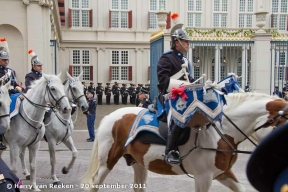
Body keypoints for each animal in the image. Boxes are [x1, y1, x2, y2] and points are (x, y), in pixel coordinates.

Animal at [81, 92, 288, 191]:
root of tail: (111, 116)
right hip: (108, 160)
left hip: (139, 163)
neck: (221, 132)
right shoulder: (203, 177)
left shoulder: (222, 173)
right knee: (95, 183)